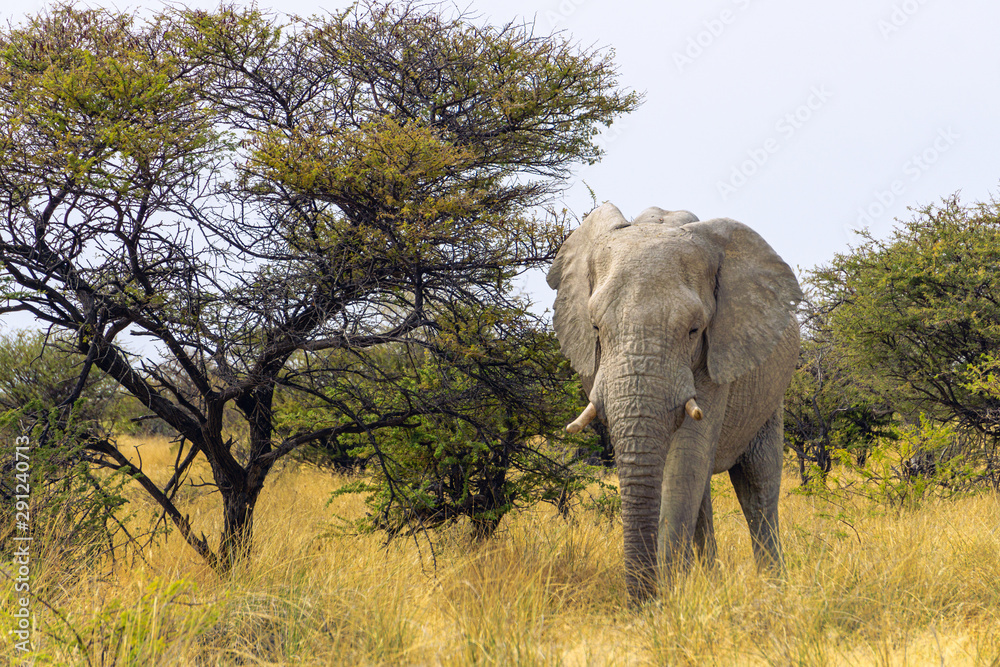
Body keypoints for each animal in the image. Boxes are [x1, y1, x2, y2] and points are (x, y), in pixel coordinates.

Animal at [548, 201, 804, 604]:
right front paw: (675, 592)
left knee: (758, 482)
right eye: (595, 328)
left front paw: (669, 596)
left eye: (694, 330)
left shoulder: (718, 352)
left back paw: (772, 588)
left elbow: (685, 461)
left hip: (772, 388)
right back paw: (711, 579)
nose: (641, 603)